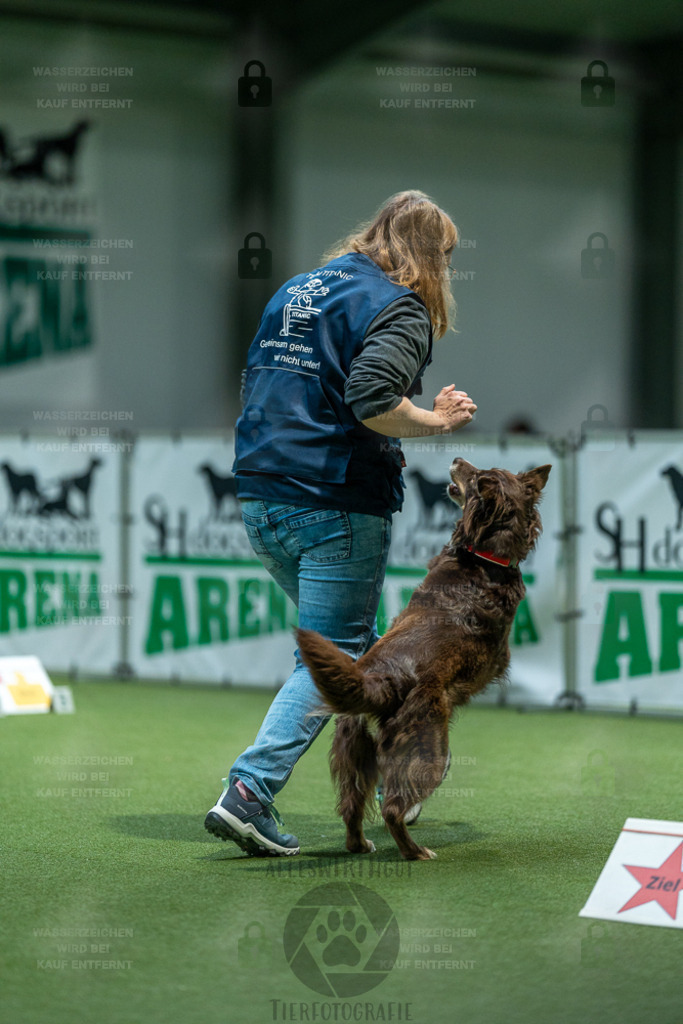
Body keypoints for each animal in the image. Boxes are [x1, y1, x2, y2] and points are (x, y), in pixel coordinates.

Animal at [296, 460, 548, 860]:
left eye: (479, 476)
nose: (458, 460)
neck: (485, 556)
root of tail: (378, 679)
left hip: (355, 750)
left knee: (351, 805)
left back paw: (360, 844)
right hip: (428, 745)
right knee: (392, 808)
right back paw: (416, 852)